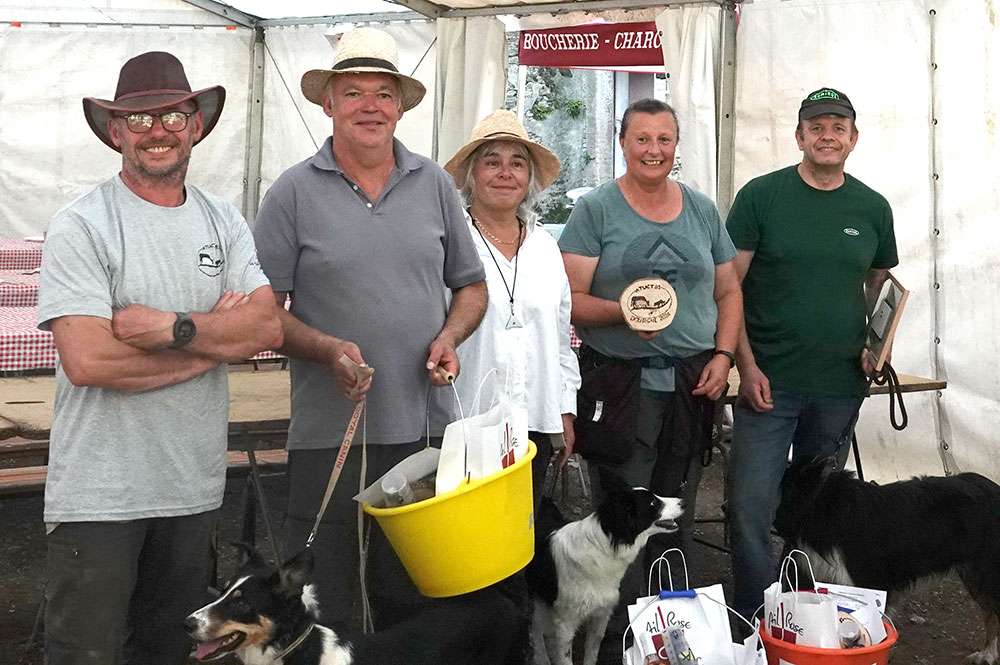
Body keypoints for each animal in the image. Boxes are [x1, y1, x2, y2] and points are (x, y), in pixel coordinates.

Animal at [780, 456, 1000, 664]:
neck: (822, 503)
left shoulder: (869, 583)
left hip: (986, 573)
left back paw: (988, 654)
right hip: (974, 576)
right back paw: (987, 654)